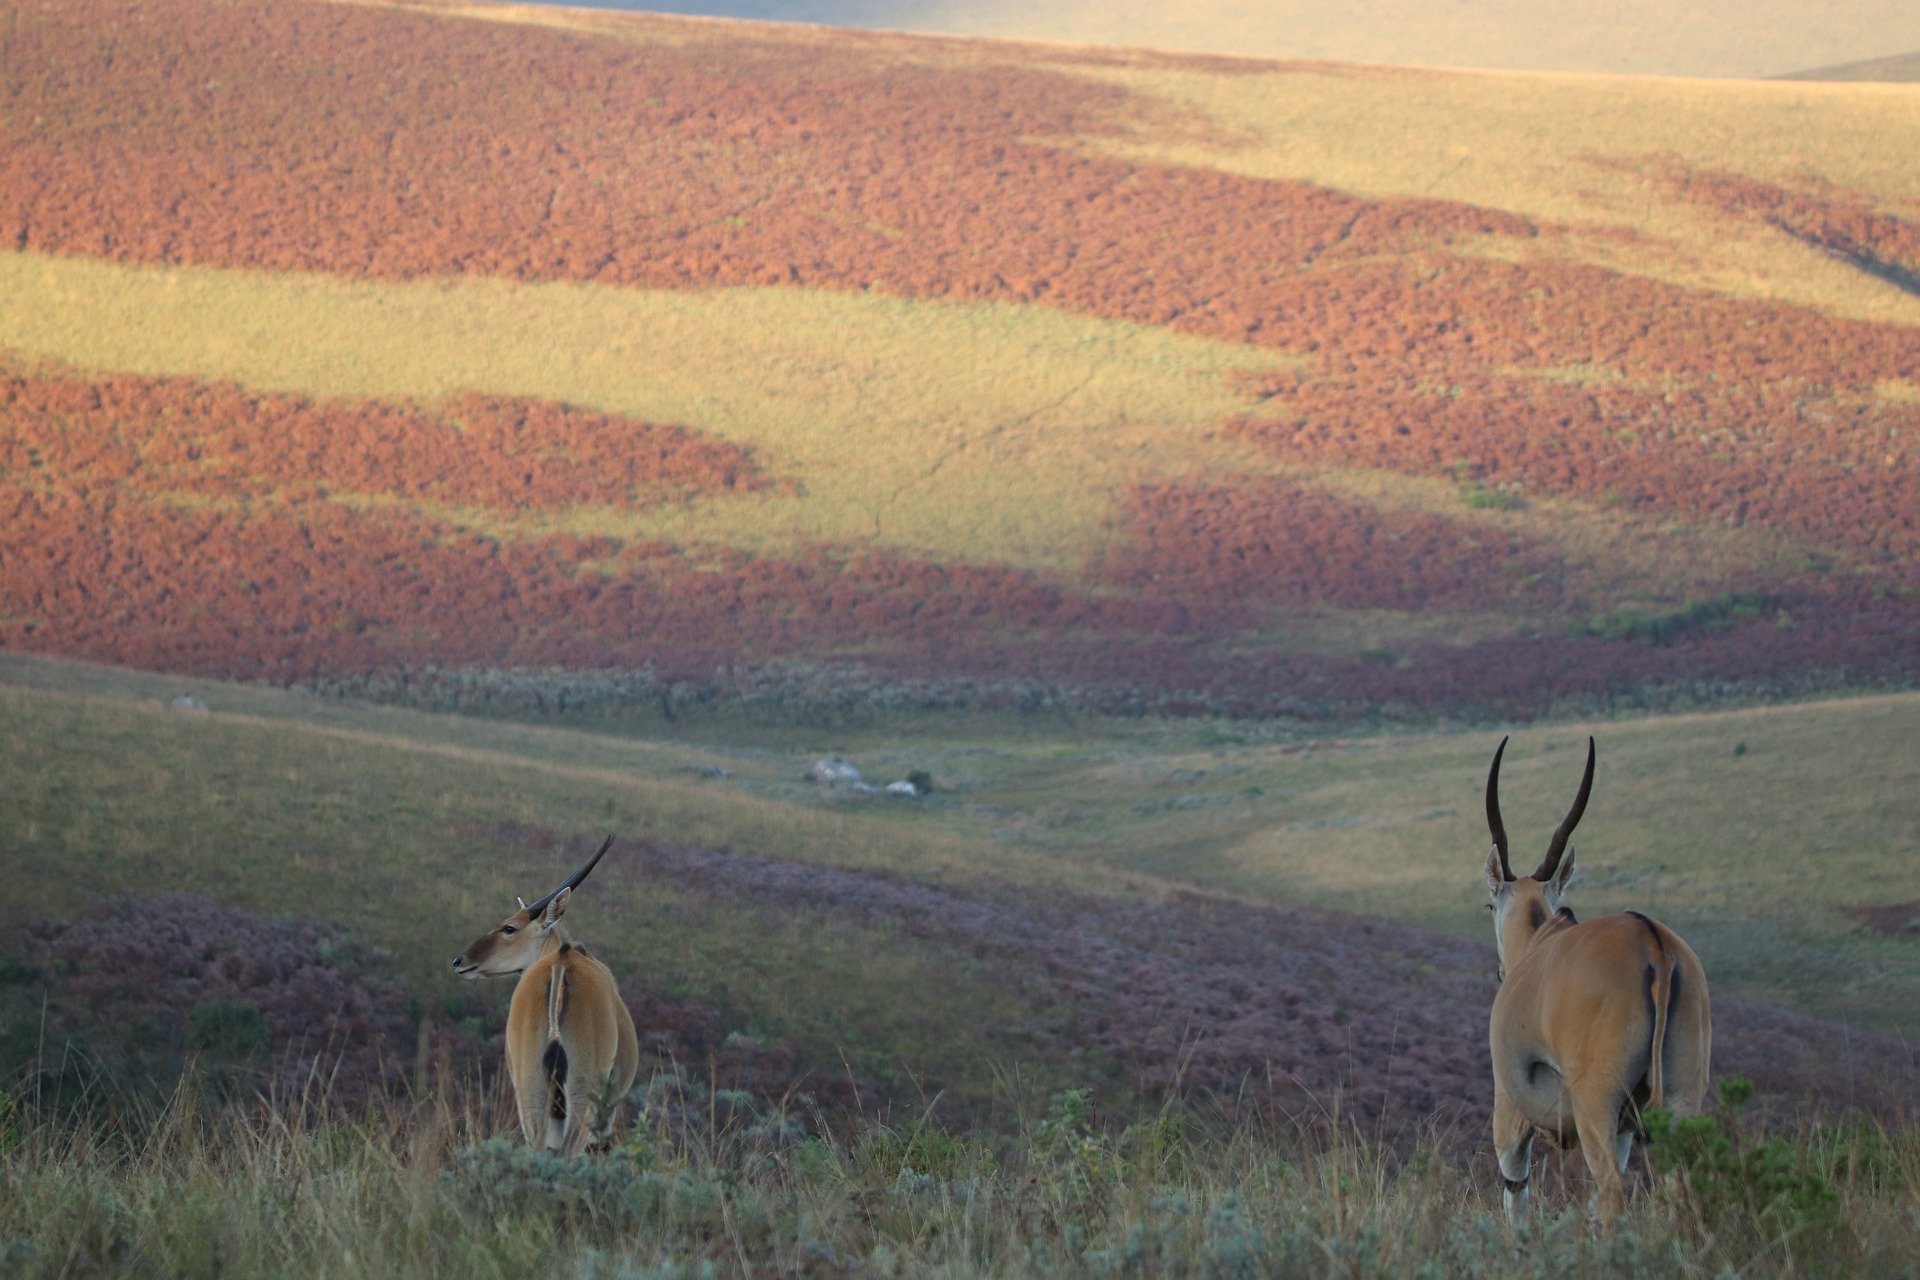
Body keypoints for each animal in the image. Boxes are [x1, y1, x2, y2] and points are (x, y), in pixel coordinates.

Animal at [1474, 744, 1720, 1228]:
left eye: (1491, 903)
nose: (1499, 972)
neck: (1541, 941)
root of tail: (1654, 943)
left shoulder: (1509, 1114)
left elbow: (1516, 1195)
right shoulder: (1626, 1129)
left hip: (1596, 1107)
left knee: (1611, 1192)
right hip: (1679, 1102)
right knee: (1675, 1191)